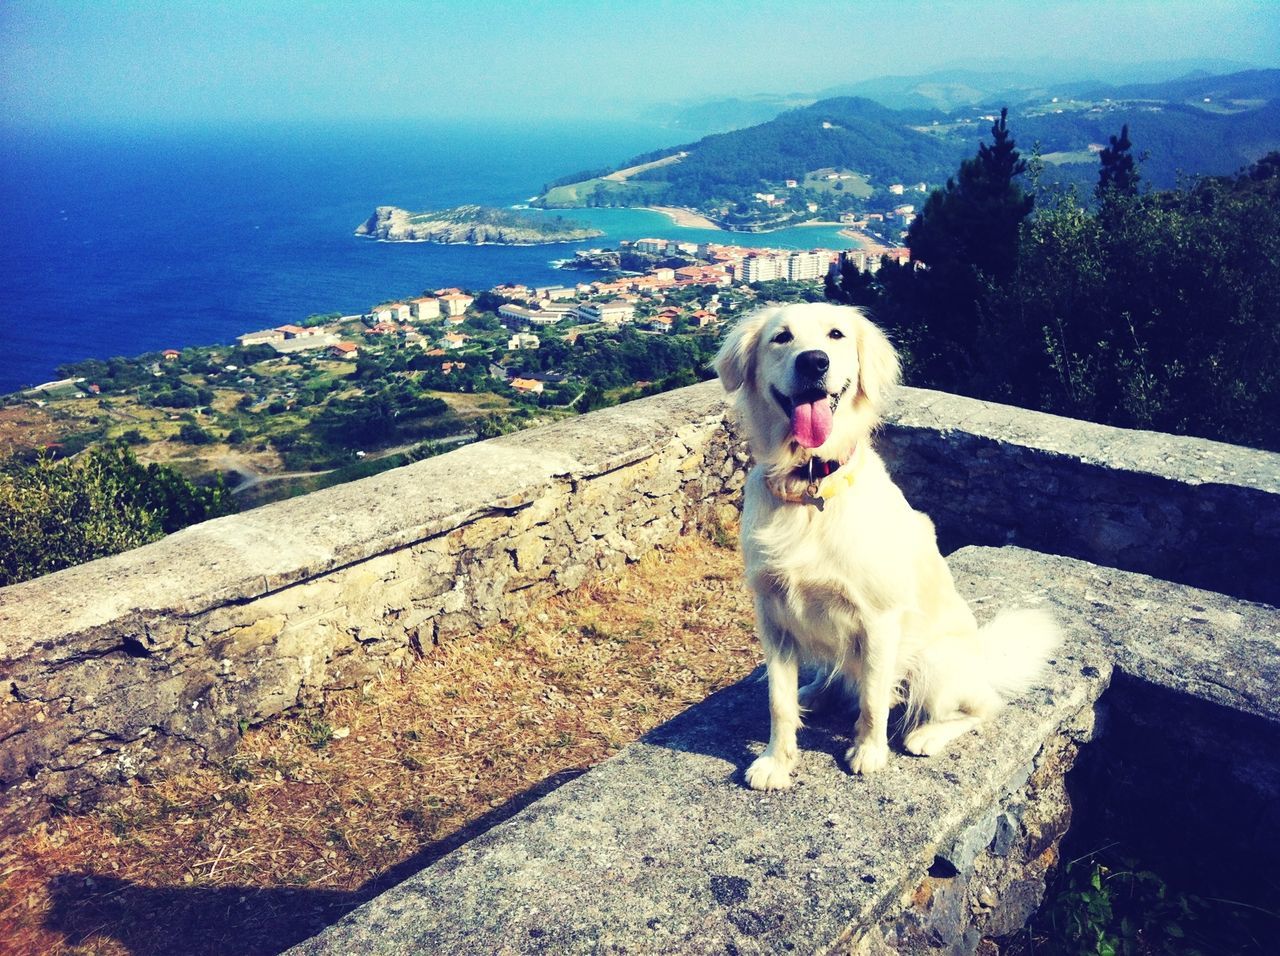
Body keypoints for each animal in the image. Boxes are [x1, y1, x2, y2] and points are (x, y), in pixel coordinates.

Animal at [711, 304, 1059, 793]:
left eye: (836, 335)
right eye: (782, 337)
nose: (814, 361)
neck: (811, 485)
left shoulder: (878, 619)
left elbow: (874, 700)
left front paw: (869, 752)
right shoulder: (772, 613)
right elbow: (778, 701)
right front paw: (776, 761)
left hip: (935, 662)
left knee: (982, 706)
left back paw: (927, 734)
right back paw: (813, 693)